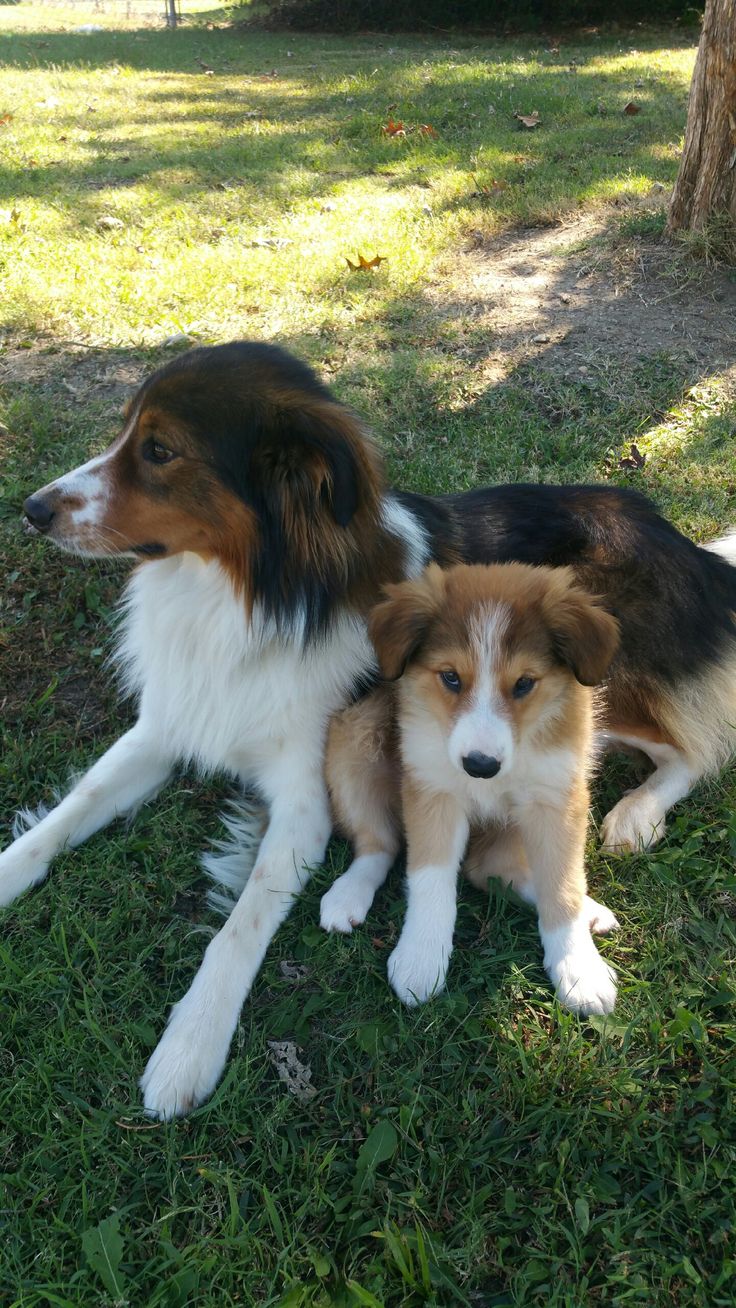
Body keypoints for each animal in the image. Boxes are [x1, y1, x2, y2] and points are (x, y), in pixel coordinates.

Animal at [324, 559, 622, 1009]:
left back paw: (590, 912)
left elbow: (562, 883)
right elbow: (429, 876)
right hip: (351, 741)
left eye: (524, 683)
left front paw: (578, 967)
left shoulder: (556, 797)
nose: (480, 766)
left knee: (490, 871)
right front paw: (421, 958)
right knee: (381, 843)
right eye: (450, 677)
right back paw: (348, 893)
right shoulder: (432, 789)